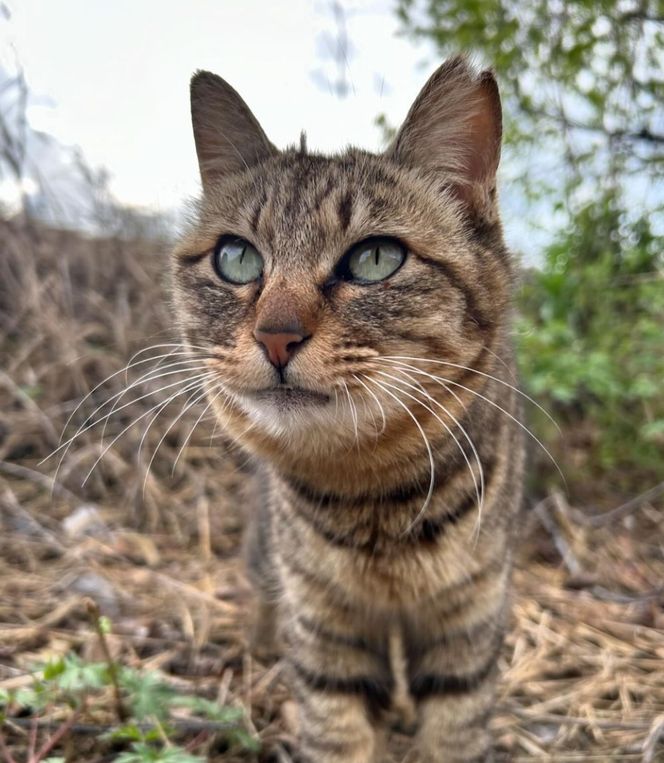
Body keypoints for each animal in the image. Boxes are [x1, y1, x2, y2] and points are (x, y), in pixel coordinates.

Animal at [171, 55, 524, 763]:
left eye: (376, 257)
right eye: (235, 257)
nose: (276, 336)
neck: (370, 495)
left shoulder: (469, 622)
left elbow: (455, 729)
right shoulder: (323, 631)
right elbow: (335, 730)